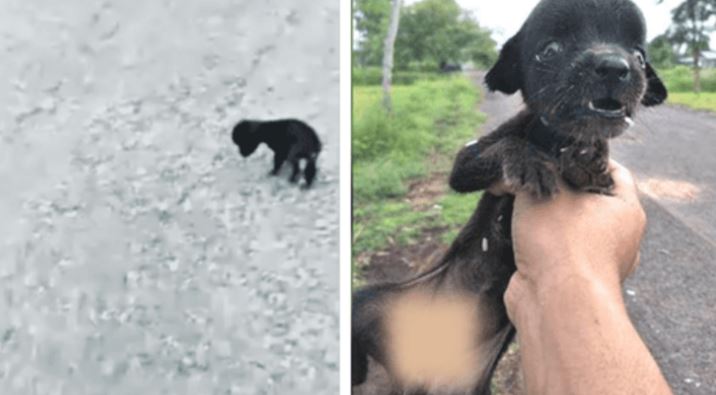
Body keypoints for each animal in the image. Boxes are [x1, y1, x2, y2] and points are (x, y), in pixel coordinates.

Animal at [350, 0, 668, 394]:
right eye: (550, 50)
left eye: (639, 56)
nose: (614, 65)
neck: (554, 140)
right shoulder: (466, 161)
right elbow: (507, 145)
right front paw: (529, 162)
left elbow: (596, 166)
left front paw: (587, 158)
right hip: (368, 304)